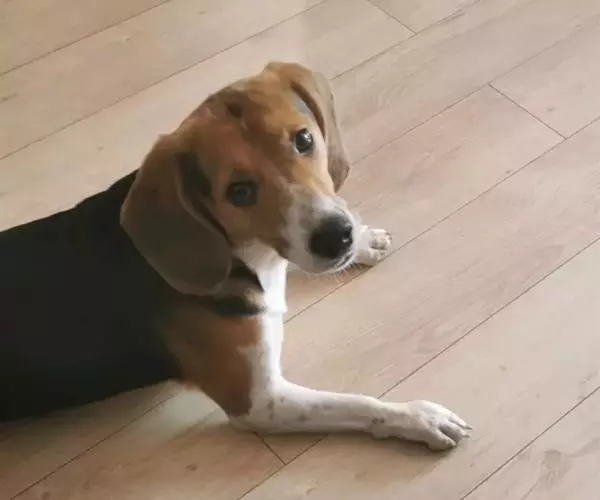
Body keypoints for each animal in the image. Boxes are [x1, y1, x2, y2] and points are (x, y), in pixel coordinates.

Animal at [0, 62, 470, 450]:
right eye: (239, 191)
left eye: (304, 139)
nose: (336, 238)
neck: (244, 255)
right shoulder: (262, 402)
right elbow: (356, 404)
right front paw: (418, 417)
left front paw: (365, 239)